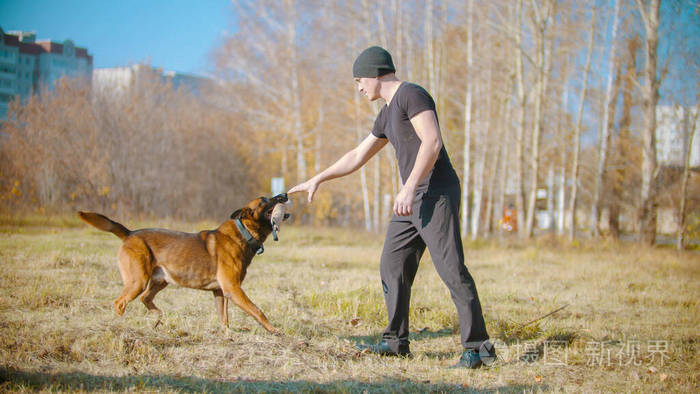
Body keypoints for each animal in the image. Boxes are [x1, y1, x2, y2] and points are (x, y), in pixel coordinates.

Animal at [78, 194, 290, 332]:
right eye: (265, 200)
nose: (284, 194)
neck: (244, 232)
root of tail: (130, 233)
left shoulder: (220, 292)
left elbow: (224, 318)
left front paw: (227, 335)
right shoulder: (233, 289)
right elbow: (257, 310)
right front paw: (274, 331)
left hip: (160, 280)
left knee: (145, 298)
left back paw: (158, 318)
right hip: (137, 281)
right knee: (120, 303)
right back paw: (122, 324)